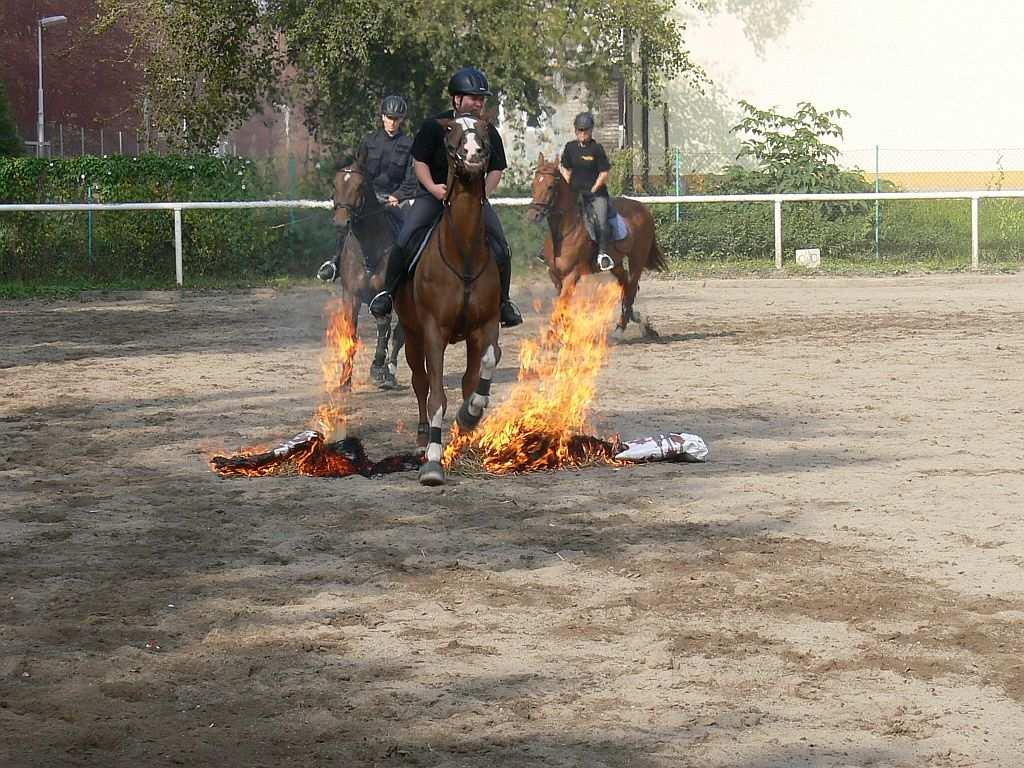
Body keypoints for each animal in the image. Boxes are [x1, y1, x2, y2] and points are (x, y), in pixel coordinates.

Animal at [327, 150, 407, 391]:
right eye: (335, 184)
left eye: (360, 185)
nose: (341, 222)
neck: (369, 249)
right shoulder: (351, 296)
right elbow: (351, 335)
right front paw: (345, 381)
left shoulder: (383, 298)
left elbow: (384, 329)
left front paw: (378, 369)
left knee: (399, 334)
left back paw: (390, 372)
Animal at [393, 114, 501, 487]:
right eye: (451, 130)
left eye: (484, 130)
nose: (474, 152)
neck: (463, 252)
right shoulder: (433, 332)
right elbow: (436, 395)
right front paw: (433, 461)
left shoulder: (485, 326)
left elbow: (486, 365)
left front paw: (469, 416)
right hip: (411, 335)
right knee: (420, 383)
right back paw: (423, 436)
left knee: (467, 378)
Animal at [524, 154, 667, 337]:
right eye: (534, 184)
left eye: (550, 186)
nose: (532, 215)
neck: (565, 232)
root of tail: (643, 208)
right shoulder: (555, 276)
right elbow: (561, 304)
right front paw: (565, 329)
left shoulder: (572, 274)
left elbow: (561, 303)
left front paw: (553, 335)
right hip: (615, 262)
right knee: (625, 284)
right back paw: (635, 318)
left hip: (637, 258)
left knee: (632, 286)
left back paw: (621, 328)